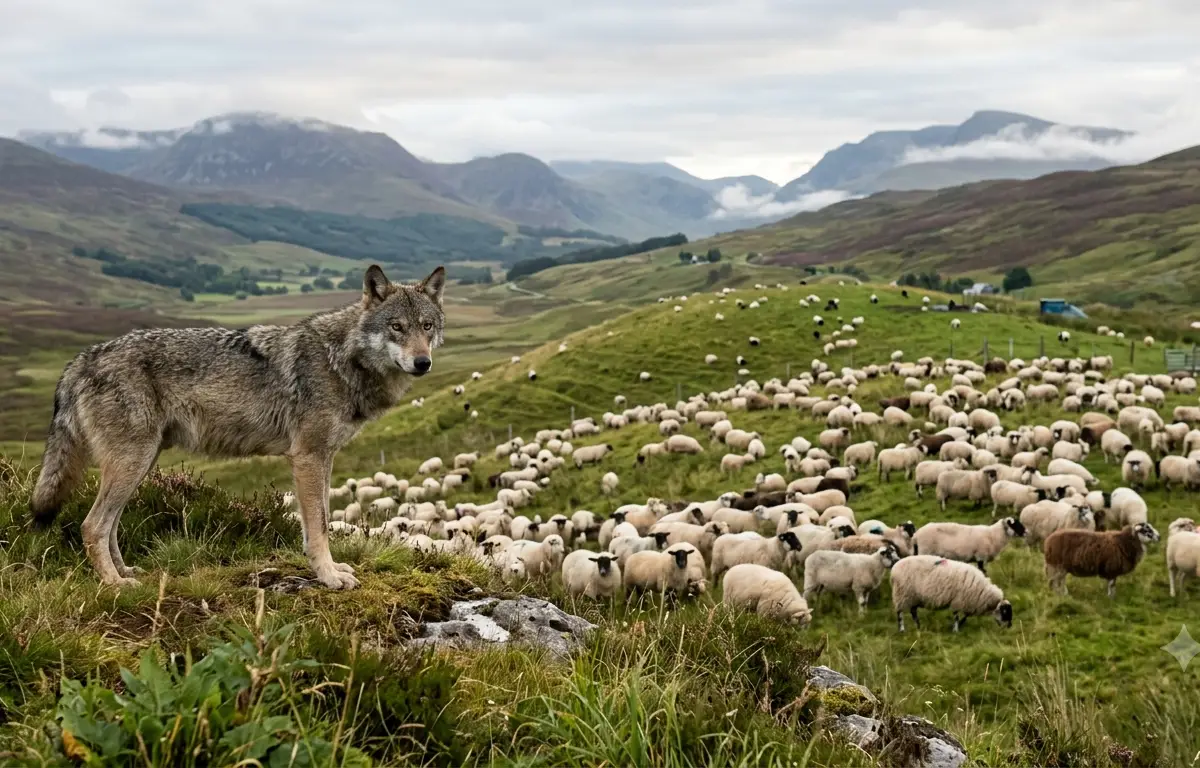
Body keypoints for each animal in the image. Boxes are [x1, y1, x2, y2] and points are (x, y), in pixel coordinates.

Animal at [30, 264, 445, 590]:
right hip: (131, 463)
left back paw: (125, 571)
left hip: (140, 464)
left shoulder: (324, 457)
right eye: (396, 327)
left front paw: (331, 569)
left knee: (110, 525)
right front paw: (328, 576)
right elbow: (320, 526)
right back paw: (114, 584)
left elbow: (322, 520)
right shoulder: (308, 457)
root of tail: (81, 360)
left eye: (427, 326)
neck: (341, 360)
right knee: (92, 525)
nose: (423, 363)